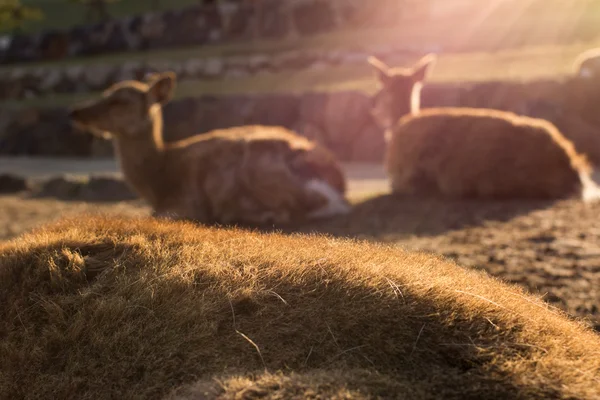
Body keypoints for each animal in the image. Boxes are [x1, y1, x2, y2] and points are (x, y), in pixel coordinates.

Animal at [69, 71, 352, 225]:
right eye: (106, 93)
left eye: (120, 101)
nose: (76, 111)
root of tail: (338, 179)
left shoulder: (184, 201)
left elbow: (154, 216)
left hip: (262, 171)